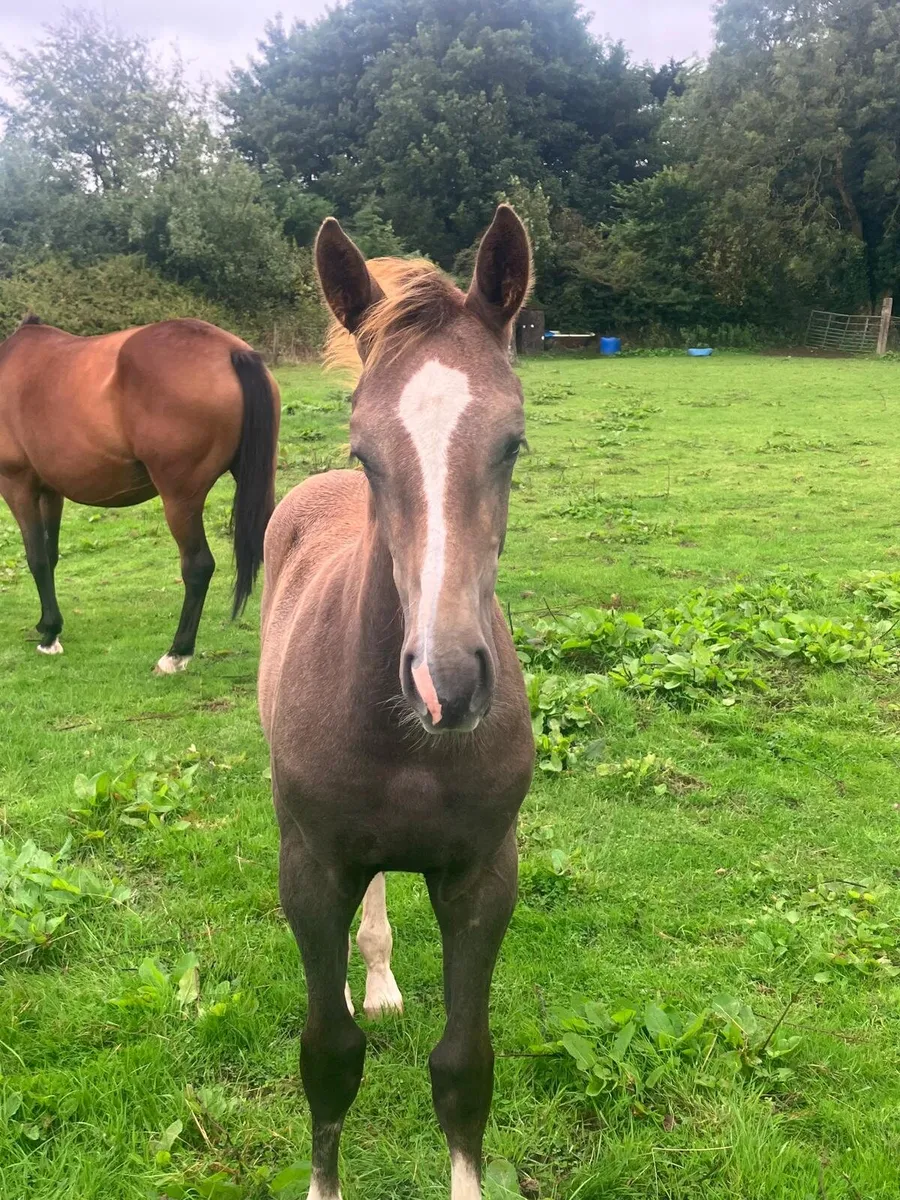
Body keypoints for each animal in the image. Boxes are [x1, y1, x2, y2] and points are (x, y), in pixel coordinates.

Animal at [0, 316, 279, 672]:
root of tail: (232, 350)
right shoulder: (50, 491)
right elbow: (50, 556)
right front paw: (47, 626)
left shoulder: (16, 484)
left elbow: (35, 557)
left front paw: (49, 634)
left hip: (180, 500)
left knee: (198, 565)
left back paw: (176, 653)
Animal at [258, 205, 535, 1200]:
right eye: (365, 450)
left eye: (512, 442)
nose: (444, 683)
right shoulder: (313, 866)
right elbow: (328, 1057)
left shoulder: (484, 876)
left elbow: (464, 1070)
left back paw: (374, 980)